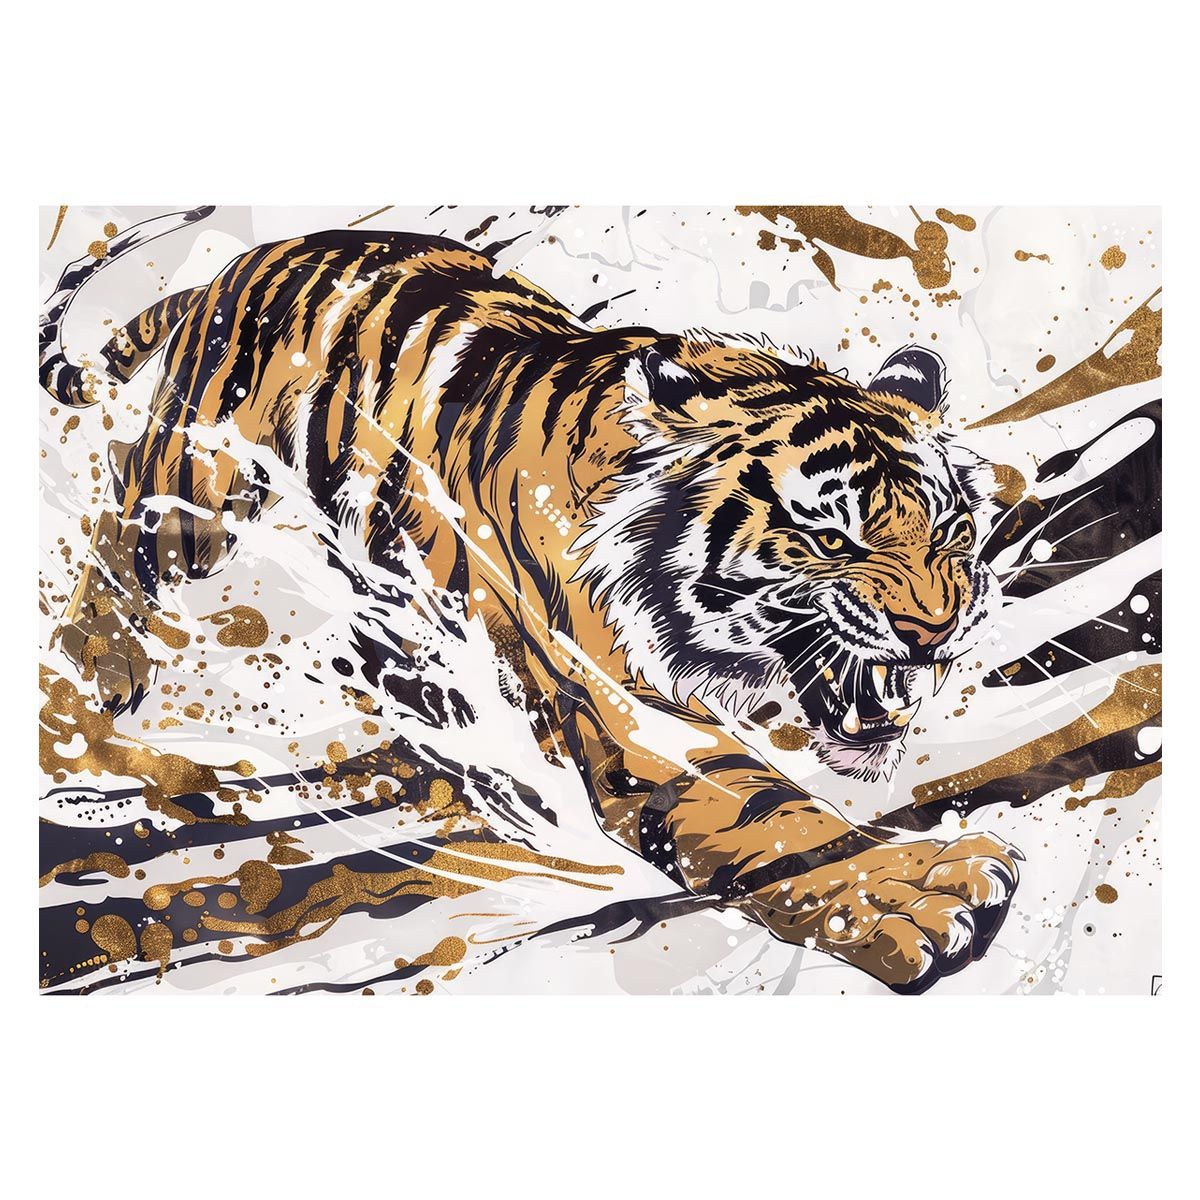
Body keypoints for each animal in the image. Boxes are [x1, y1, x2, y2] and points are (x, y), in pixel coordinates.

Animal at [40, 207, 1021, 994]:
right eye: (831, 540)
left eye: (948, 530)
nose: (935, 632)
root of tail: (250, 255)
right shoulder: (634, 713)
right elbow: (776, 820)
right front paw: (921, 897)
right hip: (189, 492)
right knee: (118, 547)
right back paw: (91, 691)